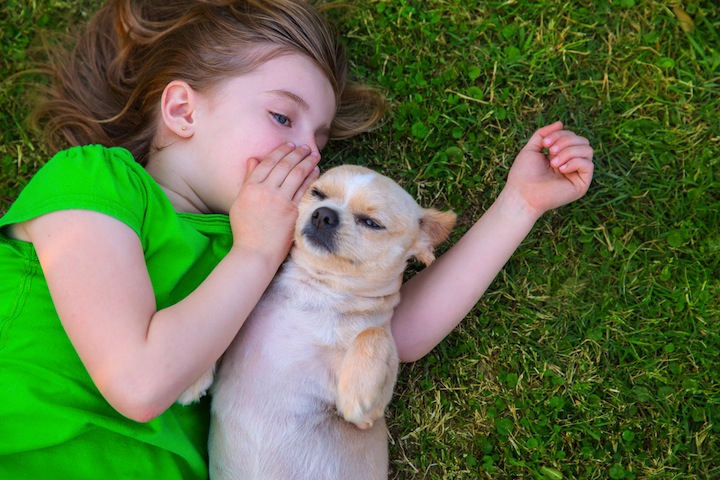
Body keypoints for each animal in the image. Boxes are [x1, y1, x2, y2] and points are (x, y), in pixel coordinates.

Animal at [184, 166, 456, 480]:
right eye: (317, 193)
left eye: (371, 223)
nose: (324, 214)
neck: (316, 291)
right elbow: (219, 327)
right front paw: (192, 374)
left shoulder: (370, 413)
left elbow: (373, 334)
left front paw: (357, 392)